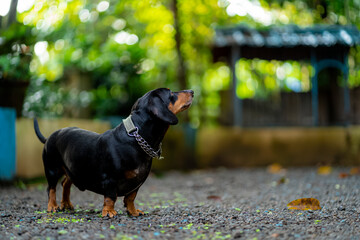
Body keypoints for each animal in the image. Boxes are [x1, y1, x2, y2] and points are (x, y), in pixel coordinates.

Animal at [34, 88, 194, 218]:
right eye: (171, 93)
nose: (192, 91)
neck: (135, 138)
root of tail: (49, 137)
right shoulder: (110, 179)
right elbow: (110, 197)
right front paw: (109, 212)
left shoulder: (137, 184)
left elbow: (130, 198)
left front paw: (133, 211)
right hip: (52, 169)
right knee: (51, 188)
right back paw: (53, 206)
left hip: (72, 170)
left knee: (65, 183)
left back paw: (66, 204)